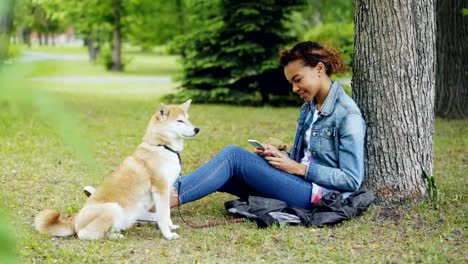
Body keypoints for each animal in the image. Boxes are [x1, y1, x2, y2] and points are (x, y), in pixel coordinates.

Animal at [35, 99, 199, 239]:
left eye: (188, 118)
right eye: (179, 121)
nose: (197, 129)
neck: (163, 146)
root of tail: (74, 219)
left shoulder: (166, 190)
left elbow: (167, 215)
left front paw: (171, 227)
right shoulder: (160, 189)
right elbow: (164, 217)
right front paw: (168, 235)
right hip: (113, 209)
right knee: (84, 234)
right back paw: (114, 236)